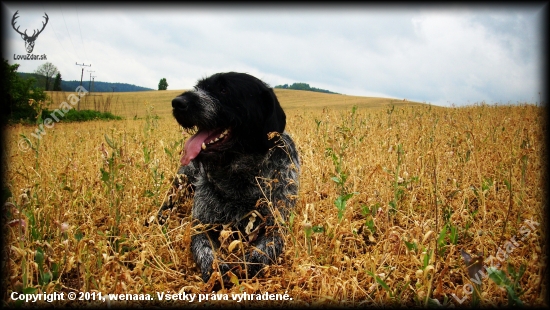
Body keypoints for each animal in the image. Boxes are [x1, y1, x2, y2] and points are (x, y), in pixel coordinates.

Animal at [157, 71, 300, 282]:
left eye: (224, 89)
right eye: (199, 87)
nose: (177, 103)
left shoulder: (275, 228)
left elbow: (259, 255)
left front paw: (244, 268)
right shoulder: (202, 225)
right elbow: (207, 252)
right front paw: (218, 271)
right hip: (181, 182)